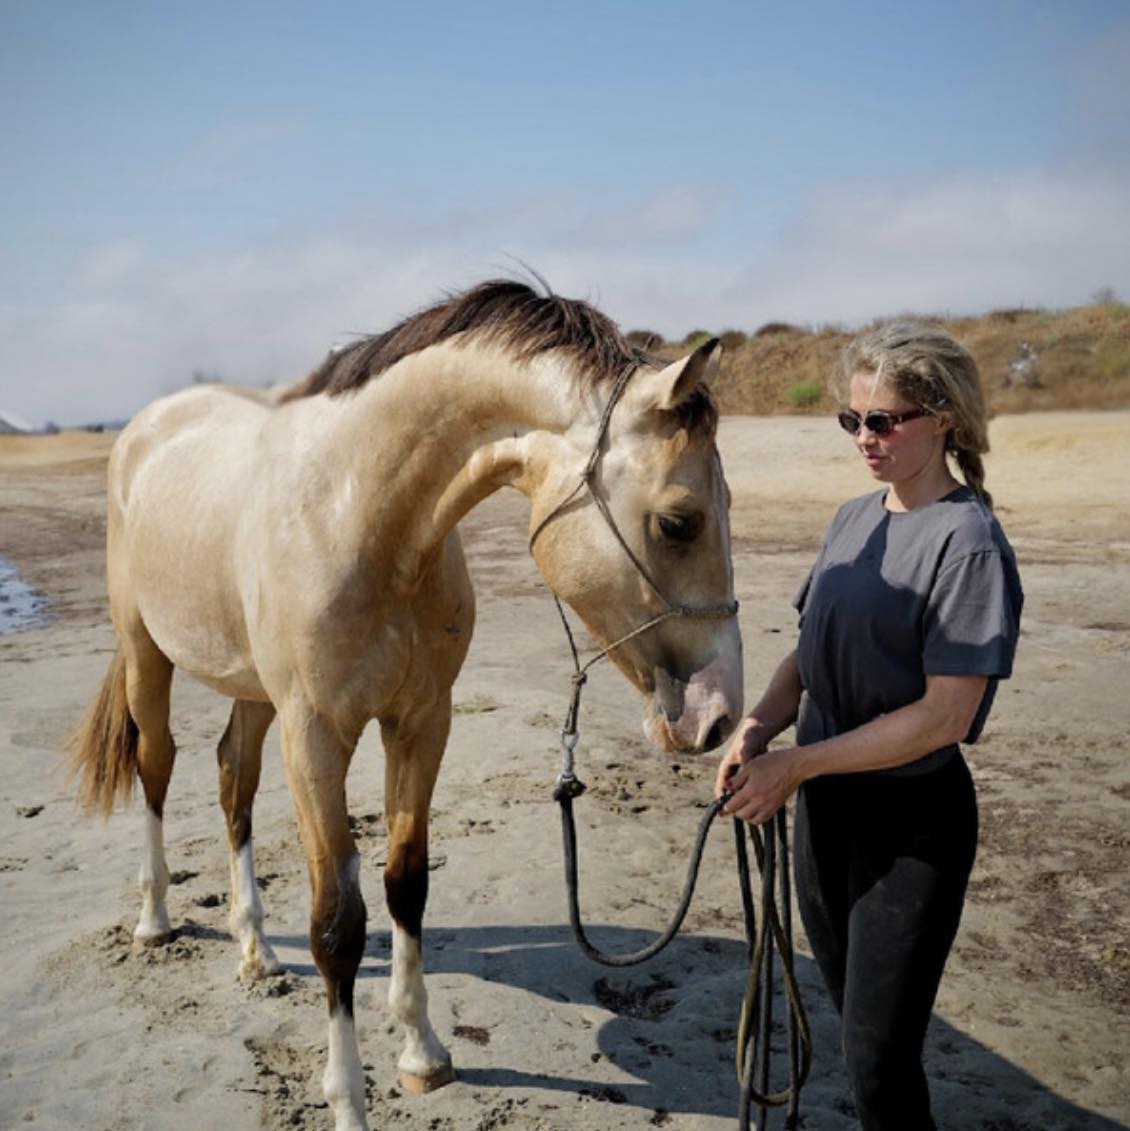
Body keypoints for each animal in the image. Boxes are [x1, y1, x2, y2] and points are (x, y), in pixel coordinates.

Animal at [69, 279, 743, 1131]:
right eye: (678, 521)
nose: (721, 716)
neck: (359, 516)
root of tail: (145, 428)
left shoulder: (421, 722)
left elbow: (405, 884)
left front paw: (422, 1051)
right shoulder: (316, 737)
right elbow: (337, 923)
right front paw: (349, 1100)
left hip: (254, 694)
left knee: (233, 780)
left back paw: (254, 949)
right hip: (147, 655)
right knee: (157, 767)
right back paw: (155, 920)